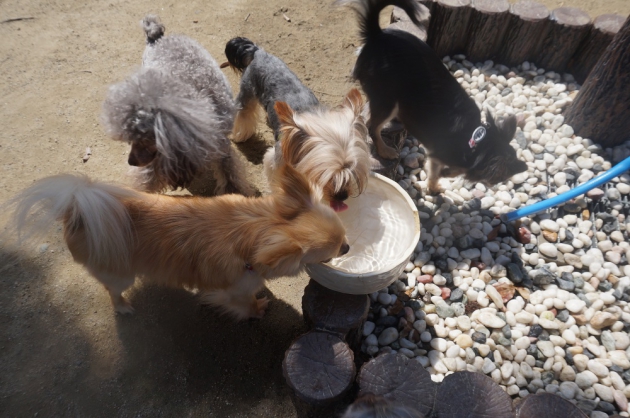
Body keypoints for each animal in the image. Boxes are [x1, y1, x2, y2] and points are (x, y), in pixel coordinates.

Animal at [7, 142, 350, 318]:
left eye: (345, 241)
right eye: (330, 254)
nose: (348, 247)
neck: (254, 226)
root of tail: (77, 209)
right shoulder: (233, 290)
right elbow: (245, 303)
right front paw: (258, 308)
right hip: (119, 274)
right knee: (112, 290)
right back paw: (124, 307)